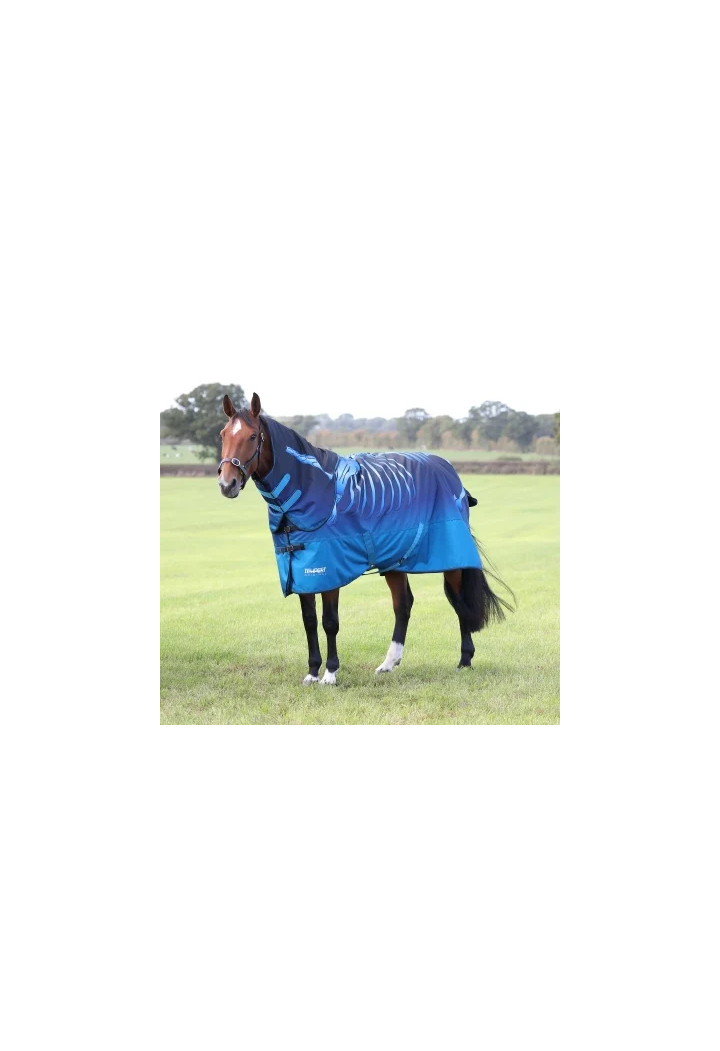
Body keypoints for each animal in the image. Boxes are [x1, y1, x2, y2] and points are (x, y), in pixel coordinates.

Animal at [217, 391, 513, 685]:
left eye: (252, 436)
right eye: (223, 435)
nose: (226, 484)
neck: (313, 493)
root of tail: (450, 472)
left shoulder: (330, 570)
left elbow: (330, 621)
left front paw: (330, 674)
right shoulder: (302, 569)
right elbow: (309, 620)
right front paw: (312, 672)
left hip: (452, 559)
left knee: (460, 603)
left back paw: (465, 660)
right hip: (395, 561)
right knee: (403, 605)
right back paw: (389, 663)